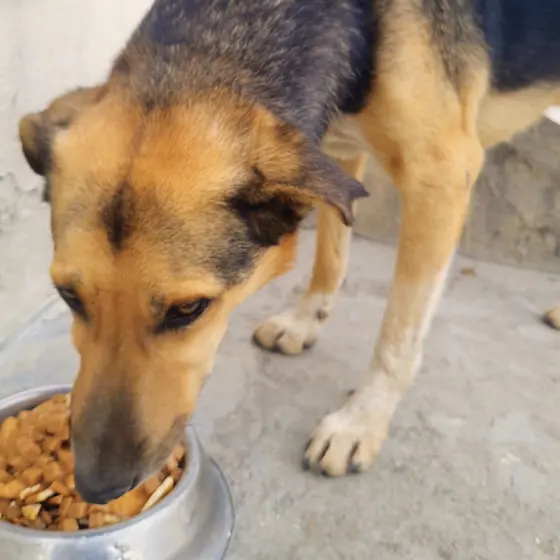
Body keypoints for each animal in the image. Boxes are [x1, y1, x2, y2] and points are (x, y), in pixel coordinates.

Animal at [17, 0, 559, 502]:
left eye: (189, 309)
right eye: (68, 297)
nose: (95, 486)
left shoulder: (442, 178)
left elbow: (398, 337)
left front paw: (359, 422)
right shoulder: (336, 156)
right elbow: (331, 256)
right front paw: (304, 323)